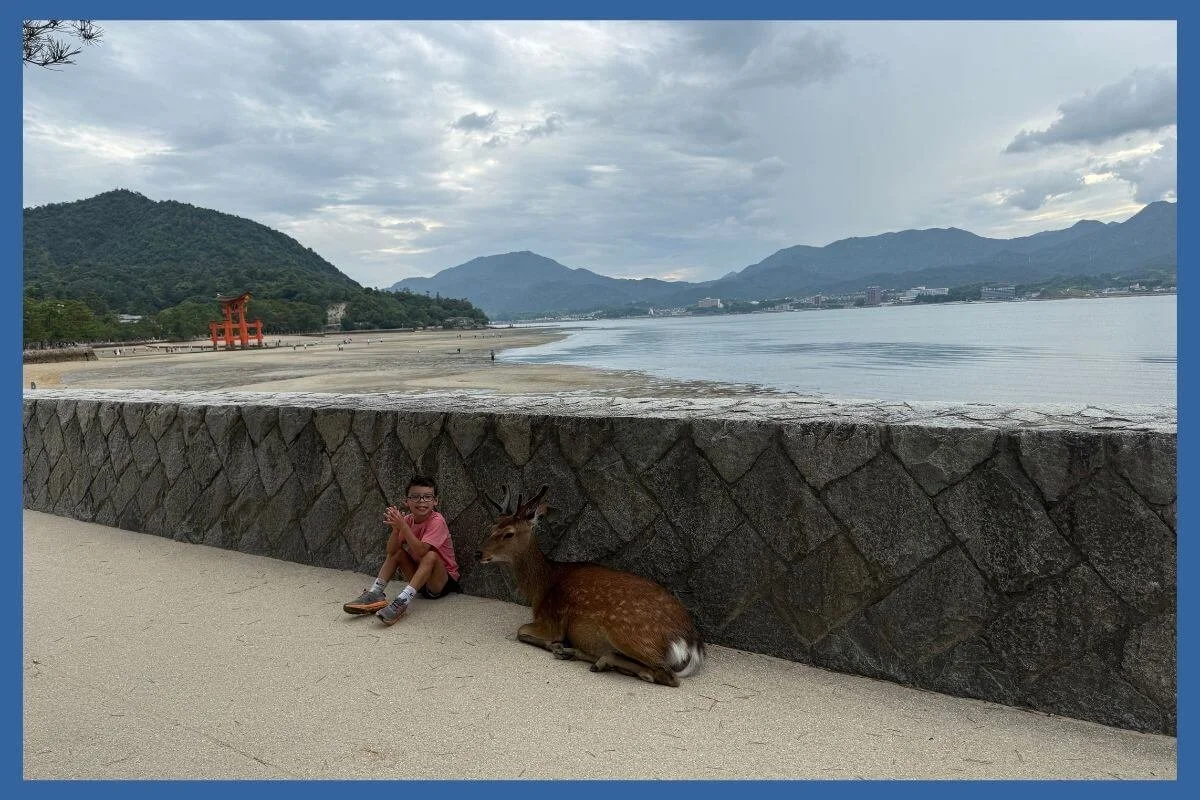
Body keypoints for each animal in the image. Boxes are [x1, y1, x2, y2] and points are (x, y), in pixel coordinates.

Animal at [476, 485, 705, 687]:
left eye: (509, 533)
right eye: (492, 527)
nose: (478, 553)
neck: (541, 587)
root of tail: (691, 643)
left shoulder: (552, 621)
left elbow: (521, 631)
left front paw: (556, 645)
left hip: (627, 631)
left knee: (666, 675)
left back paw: (594, 659)